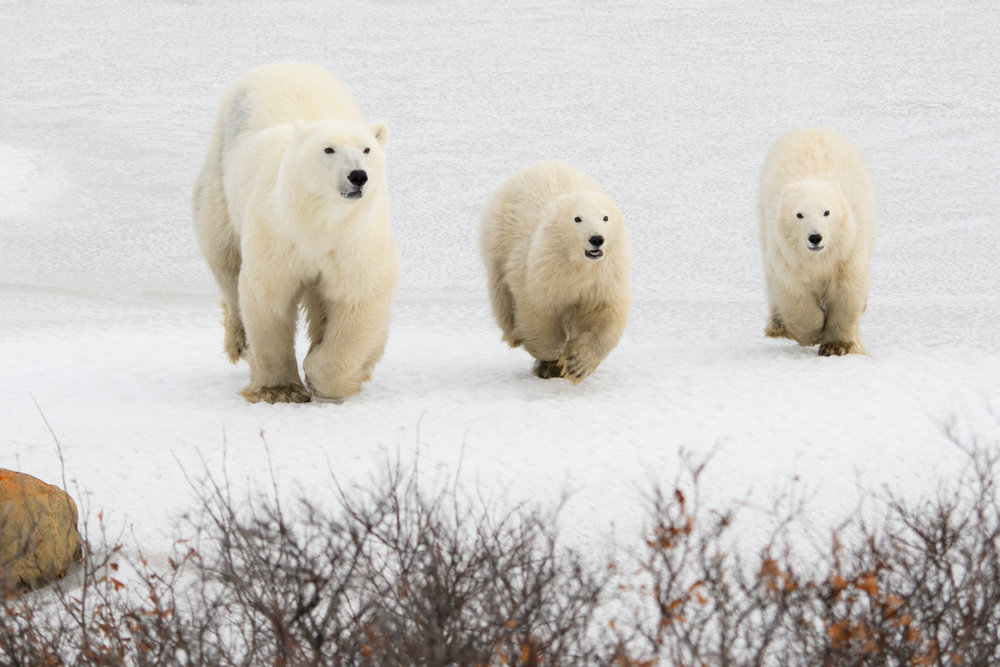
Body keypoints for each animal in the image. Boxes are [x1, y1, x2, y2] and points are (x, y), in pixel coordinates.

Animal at [192, 63, 399, 403]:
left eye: (367, 148)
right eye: (329, 149)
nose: (358, 176)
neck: (315, 223)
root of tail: (283, 64)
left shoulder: (352, 242)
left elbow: (357, 297)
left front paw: (321, 372)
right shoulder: (277, 237)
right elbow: (268, 298)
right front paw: (280, 390)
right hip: (219, 181)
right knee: (224, 257)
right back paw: (239, 340)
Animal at [480, 160, 631, 383]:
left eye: (605, 217)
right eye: (577, 218)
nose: (596, 239)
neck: (577, 264)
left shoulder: (605, 275)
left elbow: (606, 315)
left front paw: (576, 364)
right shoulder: (543, 269)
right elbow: (539, 312)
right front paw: (551, 361)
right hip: (498, 237)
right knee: (501, 292)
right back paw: (514, 334)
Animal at [758, 126, 876, 356]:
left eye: (826, 212)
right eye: (799, 214)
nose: (815, 237)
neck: (820, 257)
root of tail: (809, 128)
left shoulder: (847, 251)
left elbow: (847, 291)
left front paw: (837, 345)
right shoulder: (788, 257)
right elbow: (794, 292)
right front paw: (814, 332)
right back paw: (778, 325)